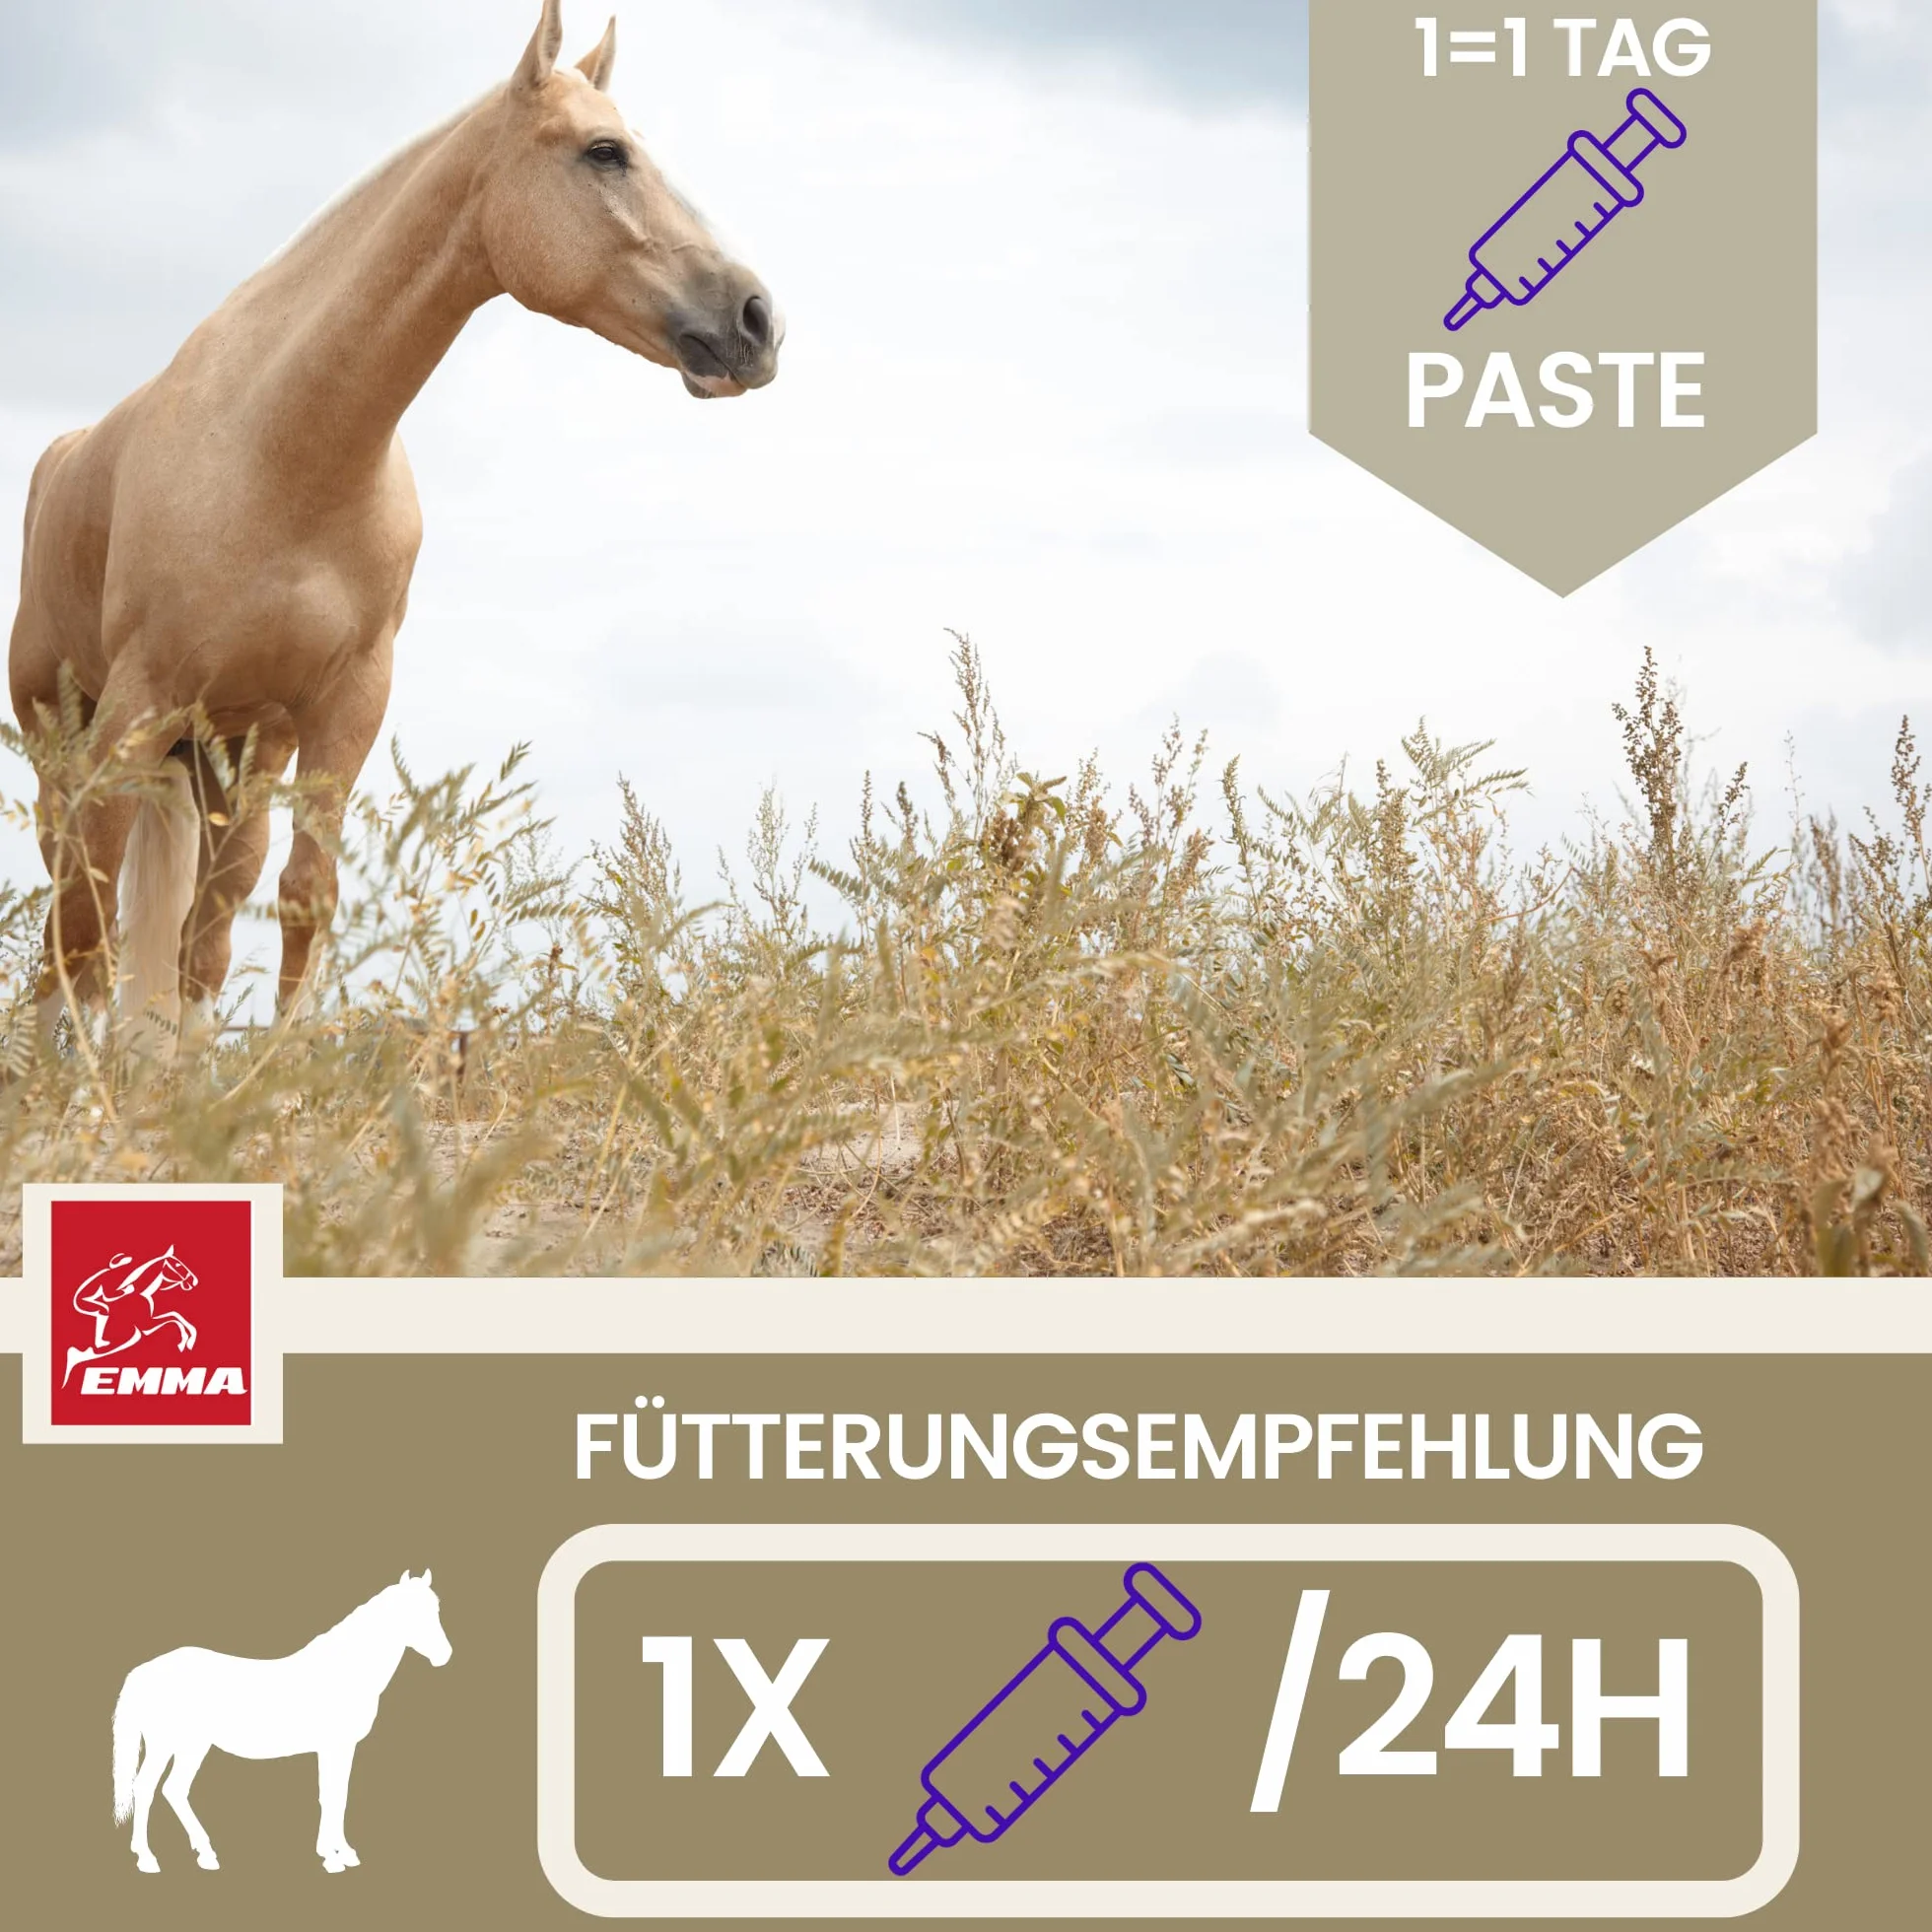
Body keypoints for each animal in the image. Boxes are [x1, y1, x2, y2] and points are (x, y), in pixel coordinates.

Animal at [9, 0, 781, 1052]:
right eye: (605, 152)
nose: (757, 319)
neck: (281, 453)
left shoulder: (343, 707)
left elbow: (300, 897)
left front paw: (267, 1079)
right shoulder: (138, 704)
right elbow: (88, 914)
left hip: (230, 758)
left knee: (205, 919)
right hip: (69, 738)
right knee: (70, 906)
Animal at [62, 1245, 199, 1386]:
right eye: (177, 1265)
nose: (194, 1281)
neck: (141, 1292)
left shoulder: (149, 1322)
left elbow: (175, 1315)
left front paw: (189, 1340)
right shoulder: (146, 1325)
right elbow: (173, 1318)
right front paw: (184, 1342)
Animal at [112, 1568, 452, 1875]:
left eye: (435, 1610)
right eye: (412, 1613)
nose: (445, 1655)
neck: (344, 1671)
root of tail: (144, 1672)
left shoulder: (344, 1748)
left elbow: (339, 1796)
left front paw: (344, 1852)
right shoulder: (333, 1747)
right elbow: (330, 1795)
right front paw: (331, 1857)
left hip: (192, 1746)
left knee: (175, 1789)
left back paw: (206, 1854)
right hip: (165, 1745)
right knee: (146, 1788)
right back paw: (147, 1859)